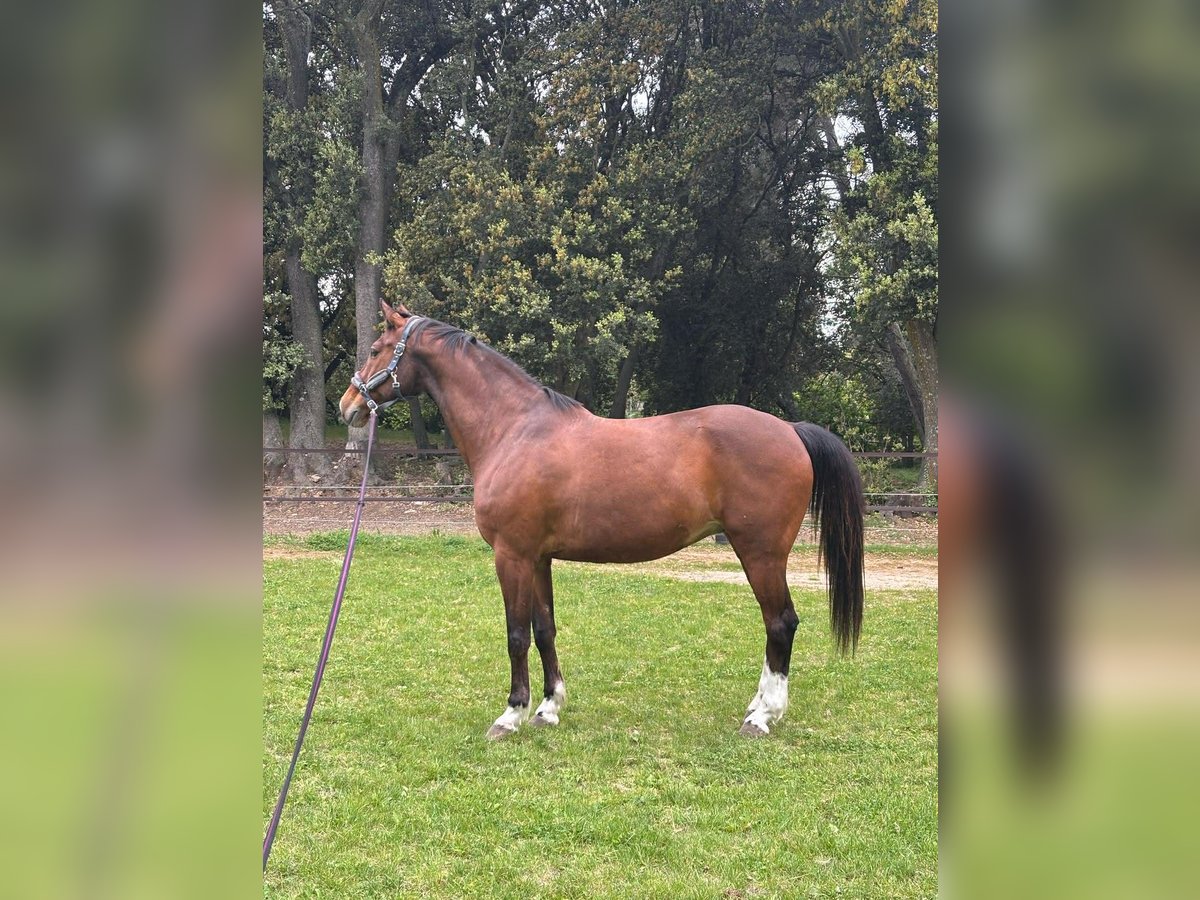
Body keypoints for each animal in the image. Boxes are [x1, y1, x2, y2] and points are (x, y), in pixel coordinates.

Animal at [339, 301, 864, 739]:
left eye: (375, 348)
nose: (347, 406)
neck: (514, 430)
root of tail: (790, 430)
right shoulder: (538, 558)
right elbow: (543, 630)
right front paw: (548, 708)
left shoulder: (511, 555)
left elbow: (515, 634)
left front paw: (511, 715)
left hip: (760, 554)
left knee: (781, 623)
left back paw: (762, 716)